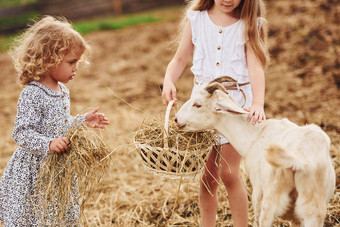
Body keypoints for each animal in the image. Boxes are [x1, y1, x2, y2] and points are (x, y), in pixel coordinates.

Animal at [174, 78, 336, 227]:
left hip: (269, 203)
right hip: (313, 211)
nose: (176, 119)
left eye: (197, 104)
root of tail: (300, 161)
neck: (256, 134)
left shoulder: (257, 194)